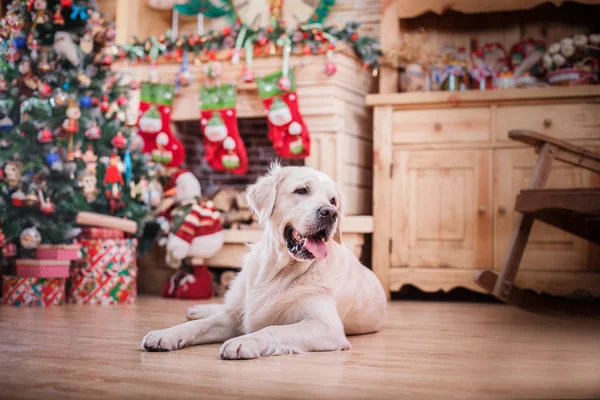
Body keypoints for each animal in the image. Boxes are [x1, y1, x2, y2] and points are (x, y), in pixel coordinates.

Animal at [141, 163, 386, 360]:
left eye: (333, 201)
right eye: (302, 190)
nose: (330, 213)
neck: (278, 271)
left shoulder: (326, 326)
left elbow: (273, 329)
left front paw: (244, 342)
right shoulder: (233, 319)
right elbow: (197, 326)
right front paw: (165, 335)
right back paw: (198, 309)